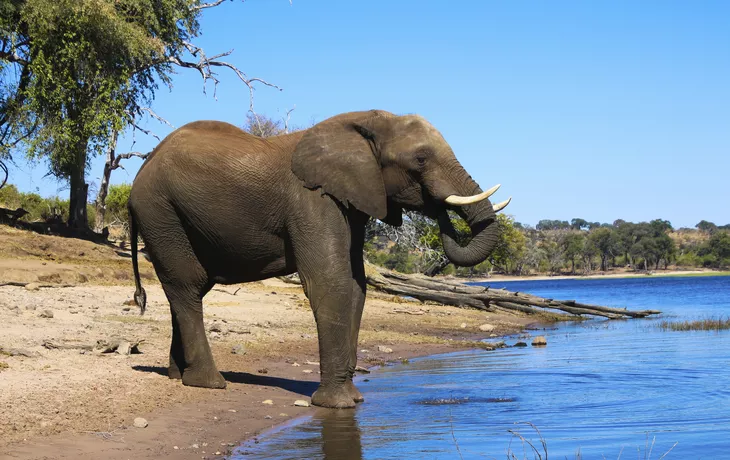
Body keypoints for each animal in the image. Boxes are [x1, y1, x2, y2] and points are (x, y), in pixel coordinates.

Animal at [128, 109, 510, 408]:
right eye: (420, 159)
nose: (439, 208)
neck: (365, 121)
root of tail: (143, 169)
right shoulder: (311, 200)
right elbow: (331, 282)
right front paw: (337, 405)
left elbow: (356, 286)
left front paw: (353, 399)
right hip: (160, 210)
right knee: (188, 284)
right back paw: (209, 382)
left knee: (189, 288)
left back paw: (177, 375)